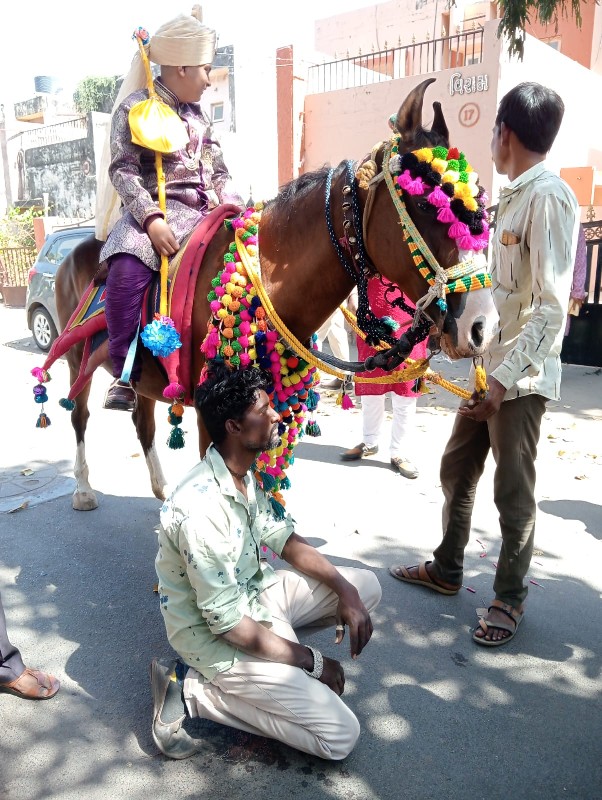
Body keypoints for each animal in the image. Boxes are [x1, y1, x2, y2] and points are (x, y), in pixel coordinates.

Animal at [30, 81, 494, 512]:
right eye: (427, 203)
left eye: (481, 206)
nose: (482, 326)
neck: (265, 280)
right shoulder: (212, 412)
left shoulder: (271, 405)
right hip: (77, 358)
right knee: (79, 416)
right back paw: (84, 489)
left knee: (143, 423)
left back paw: (161, 487)